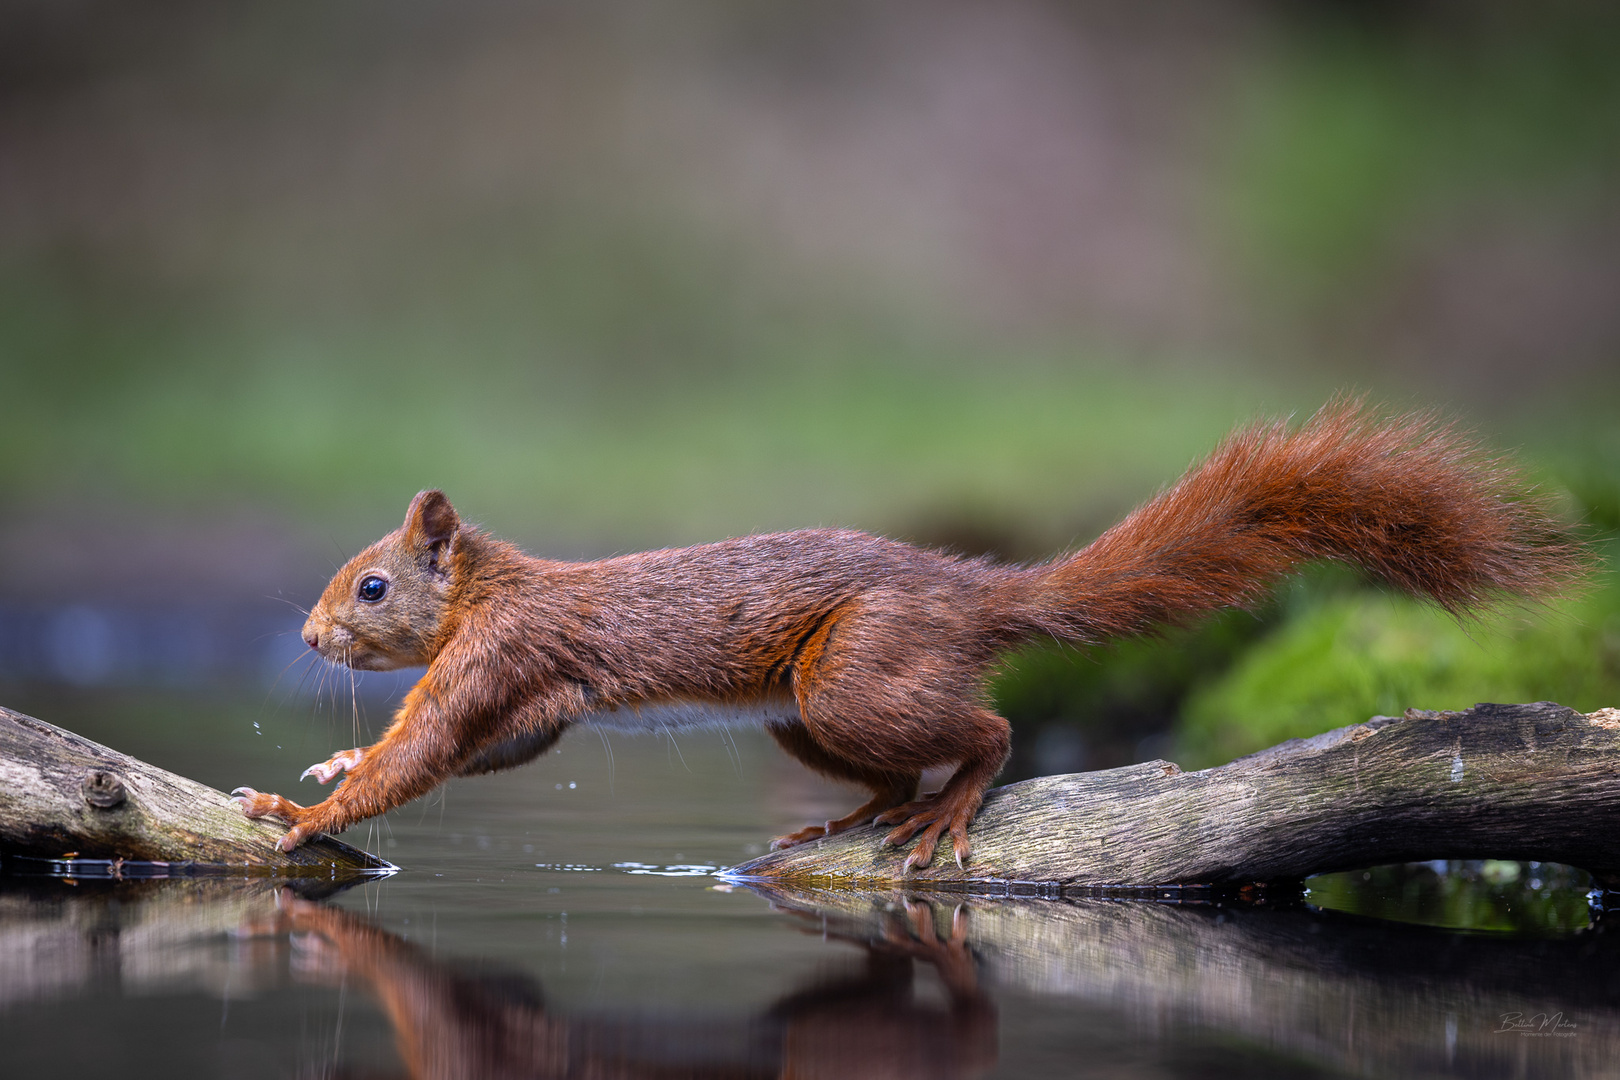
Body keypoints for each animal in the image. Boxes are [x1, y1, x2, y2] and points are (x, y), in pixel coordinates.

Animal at [234, 403, 1587, 867]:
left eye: (370, 587)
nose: (307, 637)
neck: (492, 591)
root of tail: (974, 596)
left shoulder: (501, 655)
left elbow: (432, 748)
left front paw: (303, 807)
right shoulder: (535, 695)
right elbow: (486, 751)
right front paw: (334, 763)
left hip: (858, 676)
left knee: (988, 730)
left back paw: (943, 812)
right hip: (805, 712)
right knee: (894, 763)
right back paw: (851, 820)